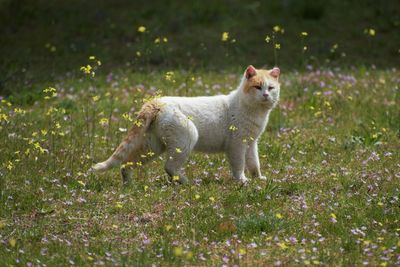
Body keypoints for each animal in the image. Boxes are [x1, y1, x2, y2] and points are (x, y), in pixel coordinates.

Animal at [92, 66, 282, 185]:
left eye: (271, 88)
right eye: (257, 87)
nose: (266, 95)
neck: (255, 111)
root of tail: (156, 102)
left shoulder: (251, 143)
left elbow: (254, 164)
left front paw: (258, 178)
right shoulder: (237, 144)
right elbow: (239, 165)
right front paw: (242, 181)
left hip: (152, 146)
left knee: (127, 163)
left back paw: (128, 185)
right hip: (186, 138)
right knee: (169, 167)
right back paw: (186, 182)